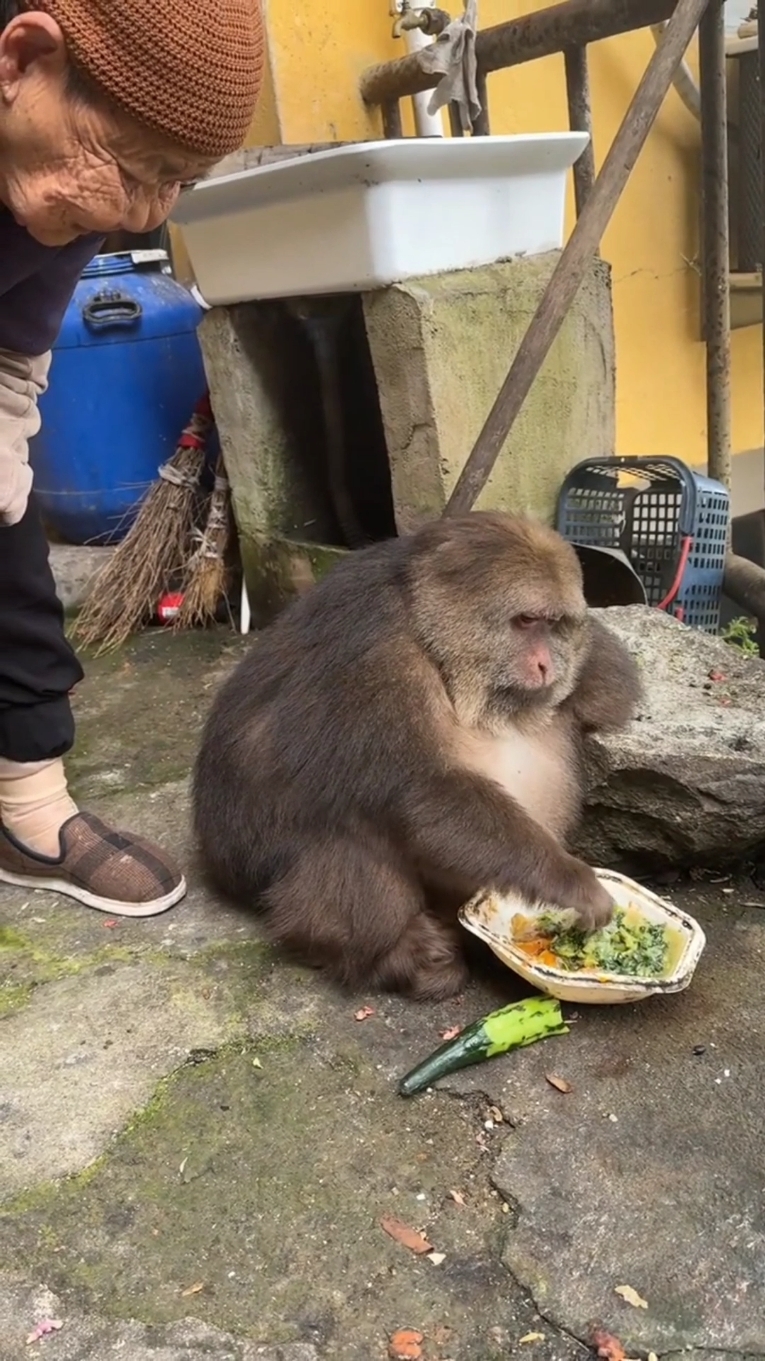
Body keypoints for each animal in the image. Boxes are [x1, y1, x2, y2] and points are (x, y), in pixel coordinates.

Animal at [190, 511, 637, 1001]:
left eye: (555, 625)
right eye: (525, 621)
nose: (545, 665)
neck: (426, 633)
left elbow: (610, 688)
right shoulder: (376, 654)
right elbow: (422, 790)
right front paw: (569, 880)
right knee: (350, 826)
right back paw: (388, 958)